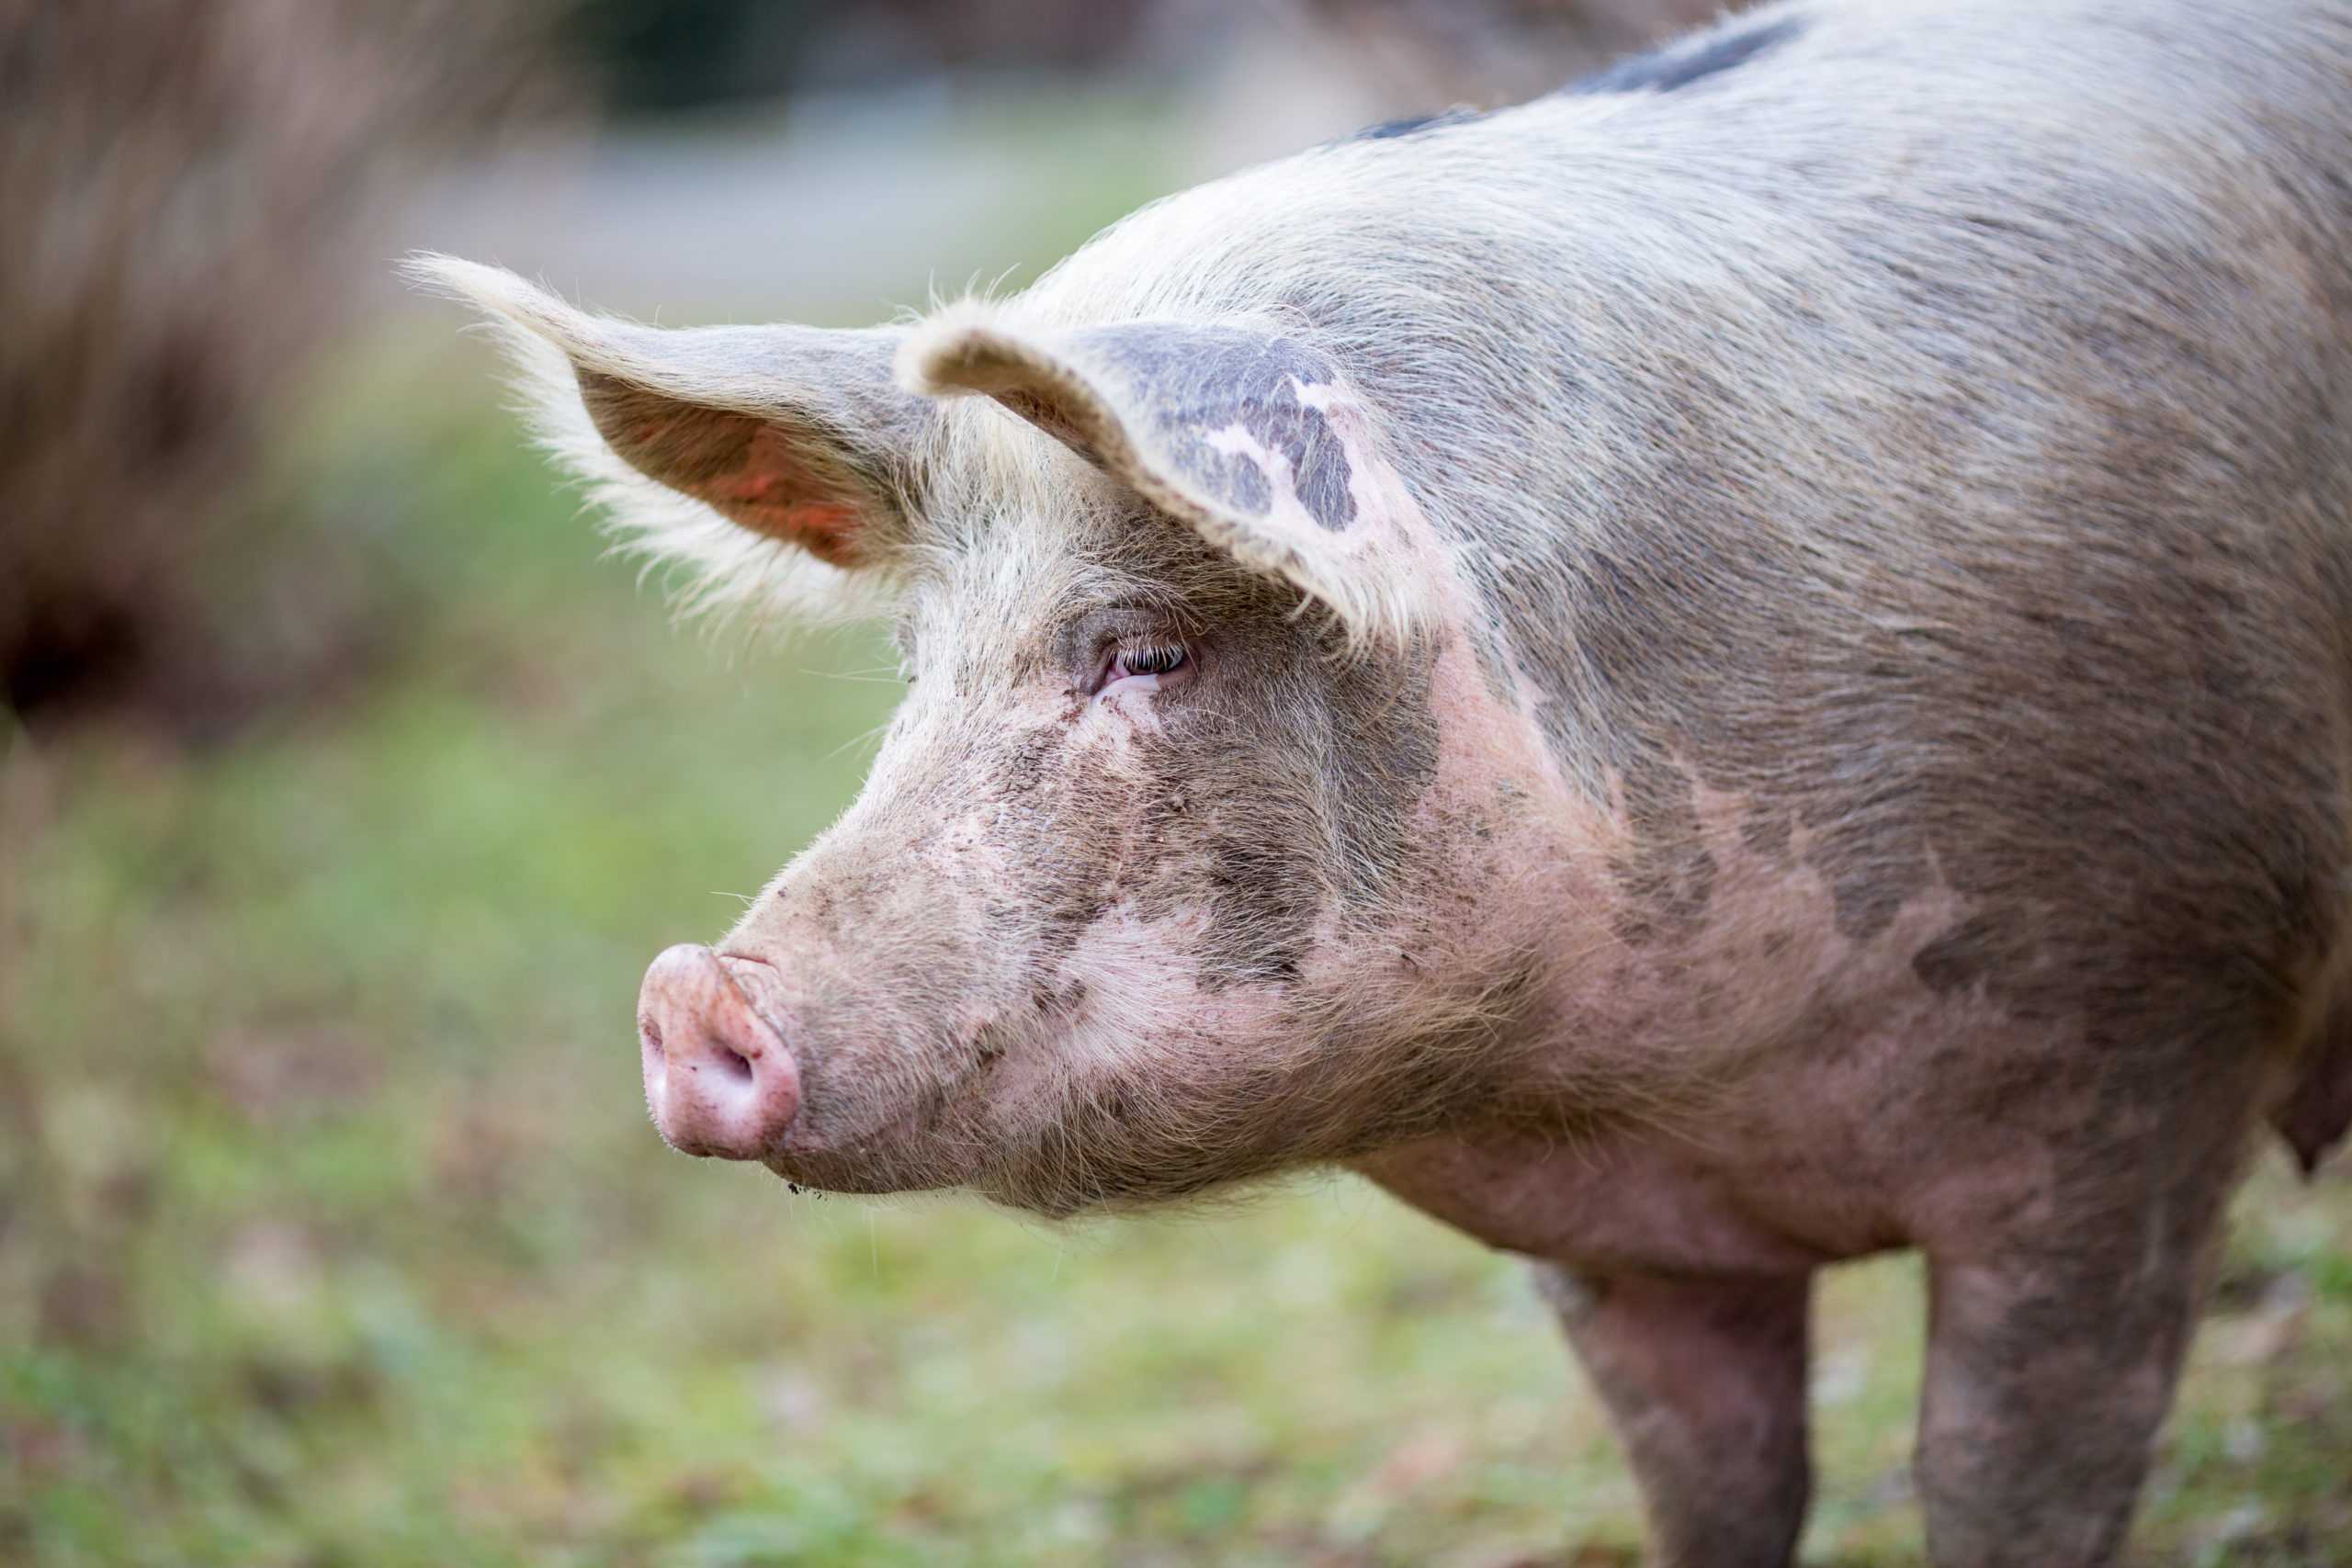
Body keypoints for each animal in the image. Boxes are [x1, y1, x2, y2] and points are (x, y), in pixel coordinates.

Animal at [418, 6, 2352, 1561]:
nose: (693, 991)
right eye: (915, 663)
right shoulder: (1635, 1249)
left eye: (1146, 650)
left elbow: (2006, 1484)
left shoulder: (2136, 1052)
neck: (1663, 1095)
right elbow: (1719, 1495)